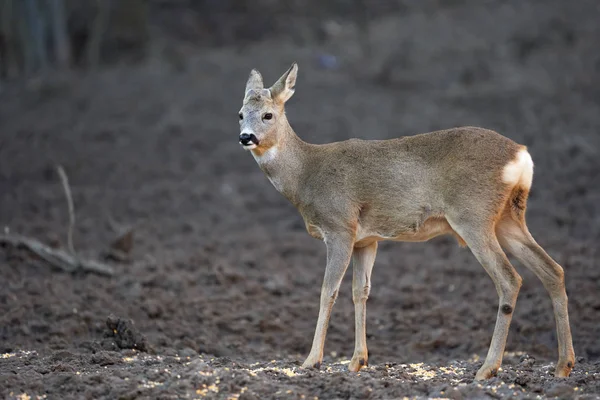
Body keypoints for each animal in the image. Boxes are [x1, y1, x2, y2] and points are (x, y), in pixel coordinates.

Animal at [237, 63, 576, 382]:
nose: (245, 137)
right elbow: (360, 291)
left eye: (268, 115)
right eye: (240, 114)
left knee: (510, 279)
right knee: (553, 270)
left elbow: (327, 290)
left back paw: (487, 369)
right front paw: (357, 361)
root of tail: (521, 157)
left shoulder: (339, 226)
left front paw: (312, 361)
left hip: (473, 215)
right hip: (508, 217)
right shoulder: (366, 239)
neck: (306, 175)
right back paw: (563, 366)